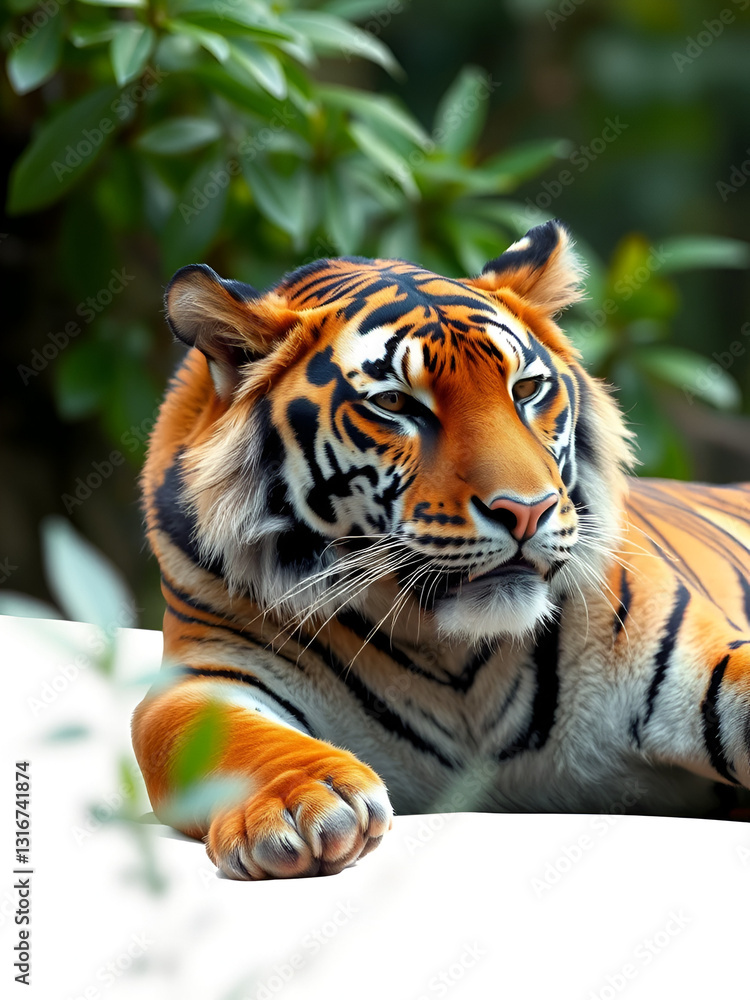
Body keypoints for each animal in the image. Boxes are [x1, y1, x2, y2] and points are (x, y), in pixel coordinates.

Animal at [131, 220, 750, 880]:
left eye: (527, 389)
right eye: (395, 403)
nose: (527, 510)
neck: (450, 655)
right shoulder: (202, 677)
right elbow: (233, 739)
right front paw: (302, 803)